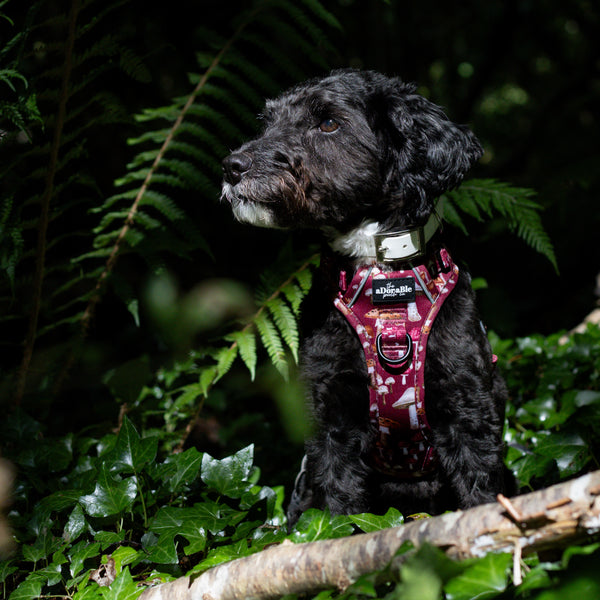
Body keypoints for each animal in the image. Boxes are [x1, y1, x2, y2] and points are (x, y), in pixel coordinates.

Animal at [223, 68, 512, 524]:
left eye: (327, 123)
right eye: (267, 122)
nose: (232, 166)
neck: (382, 278)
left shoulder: (468, 407)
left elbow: (480, 490)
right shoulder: (330, 416)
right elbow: (339, 505)